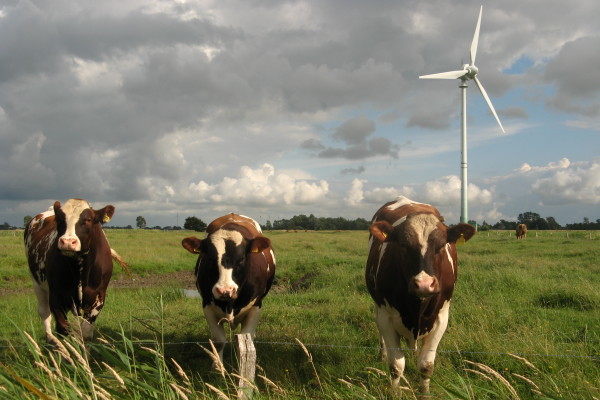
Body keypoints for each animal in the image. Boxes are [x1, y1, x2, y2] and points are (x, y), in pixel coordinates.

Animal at [24, 198, 125, 342]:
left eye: (88, 220)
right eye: (60, 220)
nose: (67, 242)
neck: (80, 269)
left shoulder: (98, 298)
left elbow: (86, 333)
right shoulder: (57, 297)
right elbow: (63, 330)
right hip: (37, 283)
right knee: (44, 312)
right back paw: (51, 340)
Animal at [180, 214, 276, 364]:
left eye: (241, 258)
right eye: (210, 258)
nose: (225, 290)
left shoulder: (256, 306)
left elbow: (246, 339)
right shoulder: (207, 305)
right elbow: (219, 341)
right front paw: (218, 366)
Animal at [364, 197, 476, 394]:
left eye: (441, 245)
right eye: (403, 245)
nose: (424, 284)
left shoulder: (441, 317)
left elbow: (426, 366)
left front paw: (425, 393)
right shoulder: (386, 317)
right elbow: (396, 366)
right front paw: (395, 393)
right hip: (378, 308)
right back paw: (382, 354)